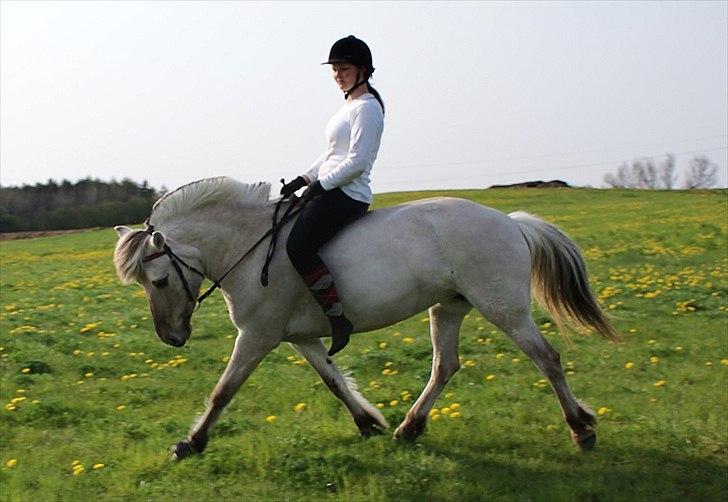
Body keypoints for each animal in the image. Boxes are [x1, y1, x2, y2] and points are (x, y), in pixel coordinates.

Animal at [112, 176, 616, 458]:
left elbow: (223, 391)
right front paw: (368, 423)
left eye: (158, 281)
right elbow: (334, 381)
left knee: (546, 358)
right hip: (448, 307)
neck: (250, 248)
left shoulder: (257, 336)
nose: (171, 338)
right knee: (446, 365)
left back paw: (581, 430)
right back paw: (409, 429)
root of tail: (511, 222)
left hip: (502, 307)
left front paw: (190, 444)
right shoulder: (301, 338)